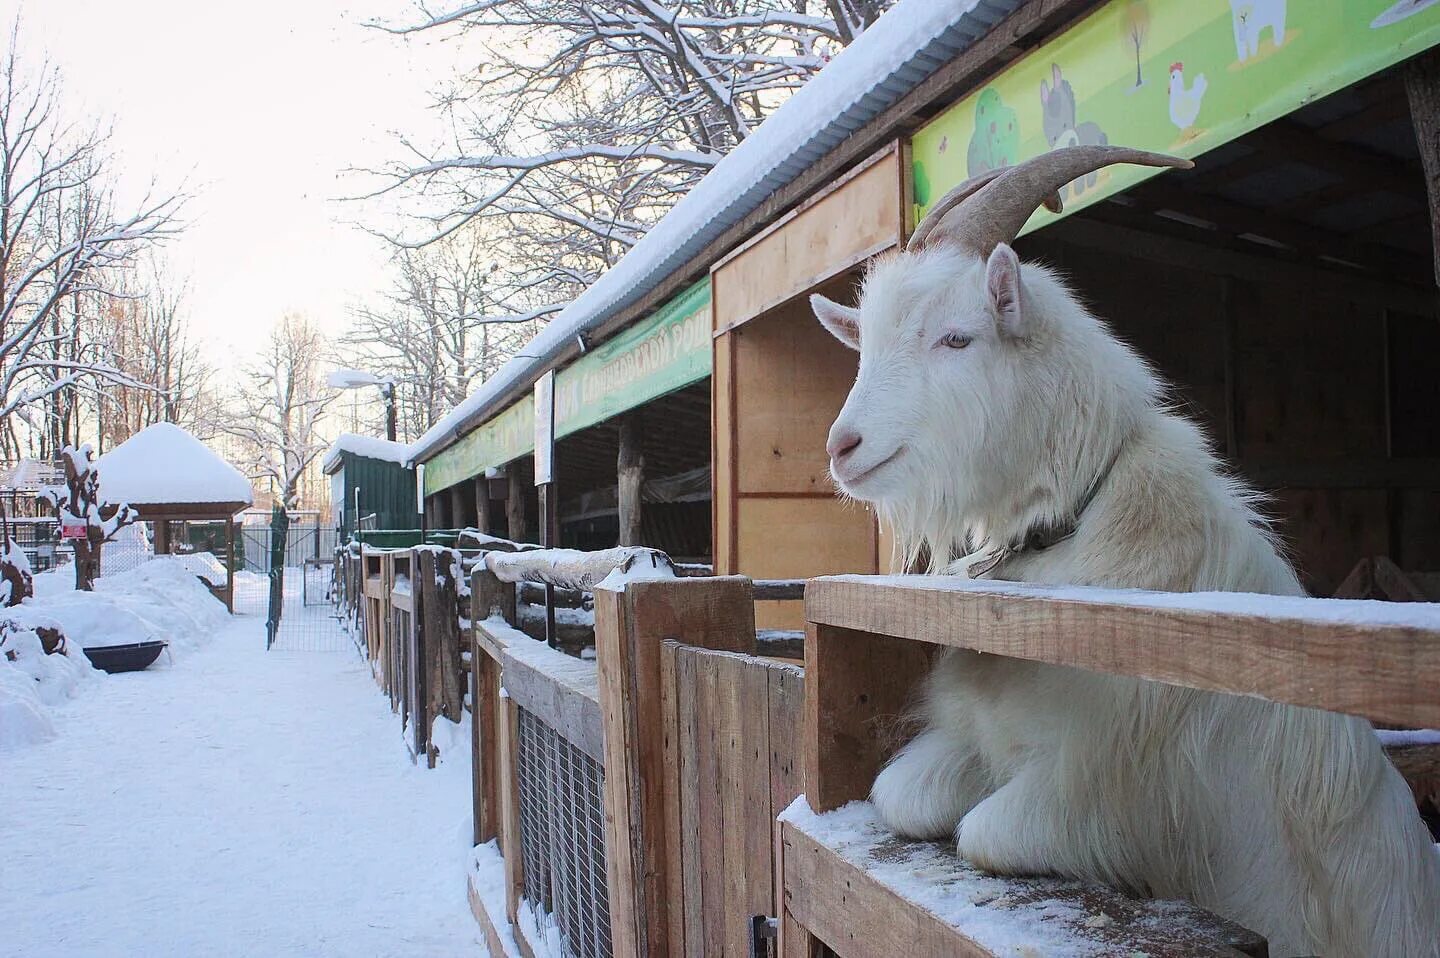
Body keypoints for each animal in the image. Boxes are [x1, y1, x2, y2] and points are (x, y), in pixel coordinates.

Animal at [812, 144, 1440, 956]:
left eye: (956, 337)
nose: (843, 447)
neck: (1074, 529)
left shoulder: (1102, 793)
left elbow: (984, 833)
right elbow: (898, 794)